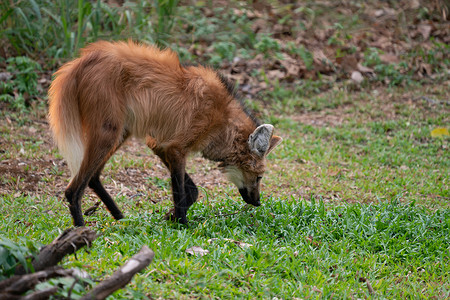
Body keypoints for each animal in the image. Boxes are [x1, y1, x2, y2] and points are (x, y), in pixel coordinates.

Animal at [49, 40, 282, 227]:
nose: (258, 202)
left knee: (94, 176)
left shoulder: (159, 144)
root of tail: (80, 62)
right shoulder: (176, 148)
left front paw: (171, 217)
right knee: (73, 189)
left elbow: (192, 191)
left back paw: (120, 218)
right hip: (108, 132)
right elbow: (181, 191)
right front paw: (183, 225)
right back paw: (81, 231)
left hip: (120, 132)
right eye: (259, 177)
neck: (223, 120)